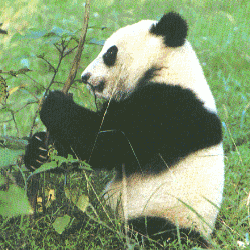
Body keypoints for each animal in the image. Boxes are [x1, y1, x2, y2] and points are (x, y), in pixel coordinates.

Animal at [24, 12, 225, 248]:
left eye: (110, 53)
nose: (84, 77)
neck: (168, 67)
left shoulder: (171, 108)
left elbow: (107, 142)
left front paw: (55, 104)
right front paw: (38, 152)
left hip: (172, 214)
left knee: (149, 232)